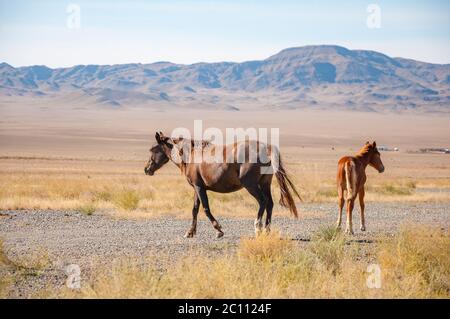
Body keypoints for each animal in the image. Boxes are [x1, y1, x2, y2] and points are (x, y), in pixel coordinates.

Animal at [144, 131, 300, 239]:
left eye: (153, 150)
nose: (147, 169)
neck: (191, 155)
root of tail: (266, 148)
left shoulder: (199, 188)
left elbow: (206, 208)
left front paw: (218, 230)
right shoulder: (197, 187)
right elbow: (195, 209)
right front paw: (190, 232)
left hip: (251, 185)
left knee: (262, 201)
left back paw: (258, 228)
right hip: (265, 184)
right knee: (270, 204)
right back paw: (267, 230)